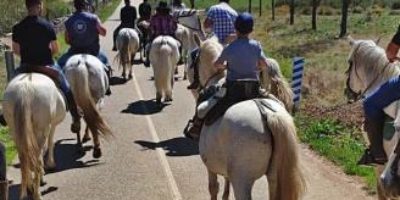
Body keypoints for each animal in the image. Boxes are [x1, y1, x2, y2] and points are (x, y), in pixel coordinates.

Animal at [189, 35, 304, 198]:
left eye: (195, 58)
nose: (192, 84)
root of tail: (269, 113)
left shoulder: (210, 166)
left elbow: (213, 188)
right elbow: (226, 182)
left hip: (242, 181)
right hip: (274, 177)